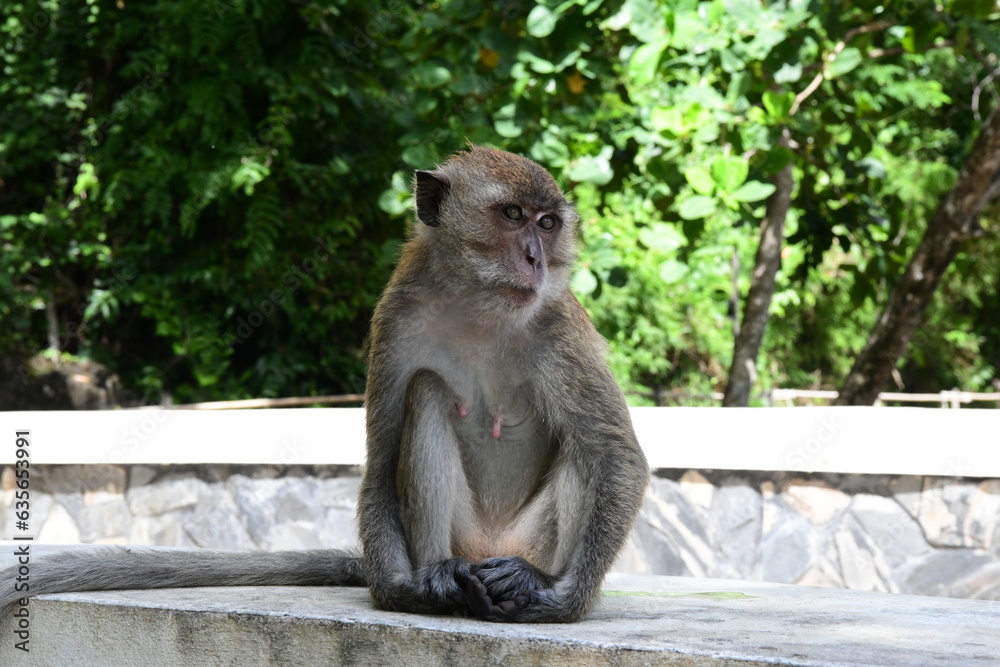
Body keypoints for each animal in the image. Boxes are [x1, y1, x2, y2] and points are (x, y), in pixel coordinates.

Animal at [0, 145, 649, 624]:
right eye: (512, 216)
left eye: (547, 222)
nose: (537, 257)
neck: (478, 306)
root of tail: (486, 552)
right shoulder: (398, 319)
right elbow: (382, 455)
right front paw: (404, 590)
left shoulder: (558, 327)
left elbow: (617, 455)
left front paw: (555, 598)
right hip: (463, 540)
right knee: (427, 392)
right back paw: (441, 578)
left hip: (526, 541)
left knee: (584, 448)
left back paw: (526, 580)